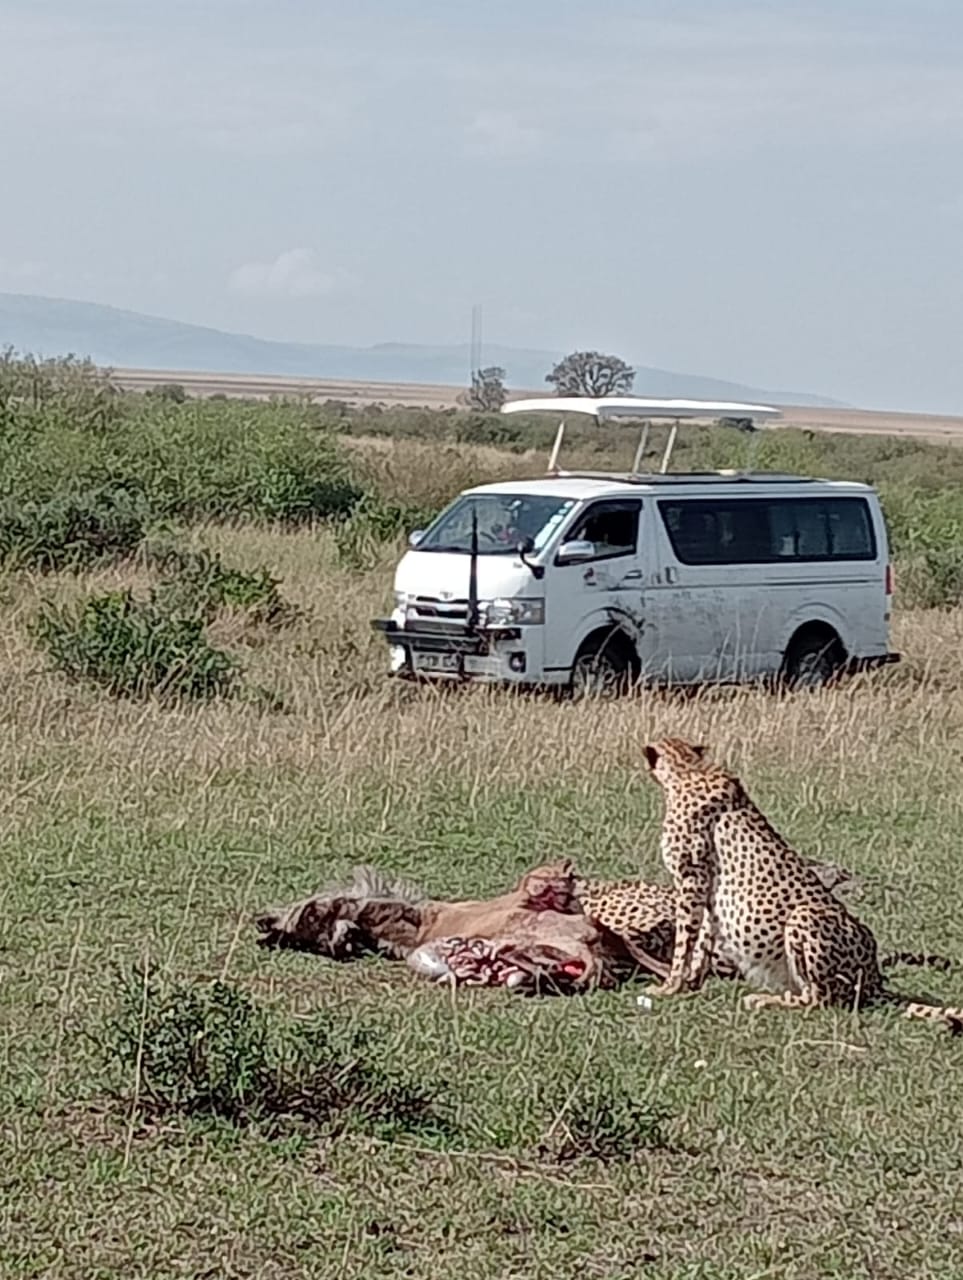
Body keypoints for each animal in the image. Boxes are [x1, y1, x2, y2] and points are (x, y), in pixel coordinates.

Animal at [638, 736, 962, 1034]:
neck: (687, 769)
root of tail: (875, 977)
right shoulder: (705, 890)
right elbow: (703, 938)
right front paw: (691, 983)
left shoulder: (690, 880)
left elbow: (684, 940)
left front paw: (669, 986)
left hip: (804, 916)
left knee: (819, 999)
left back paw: (765, 1000)